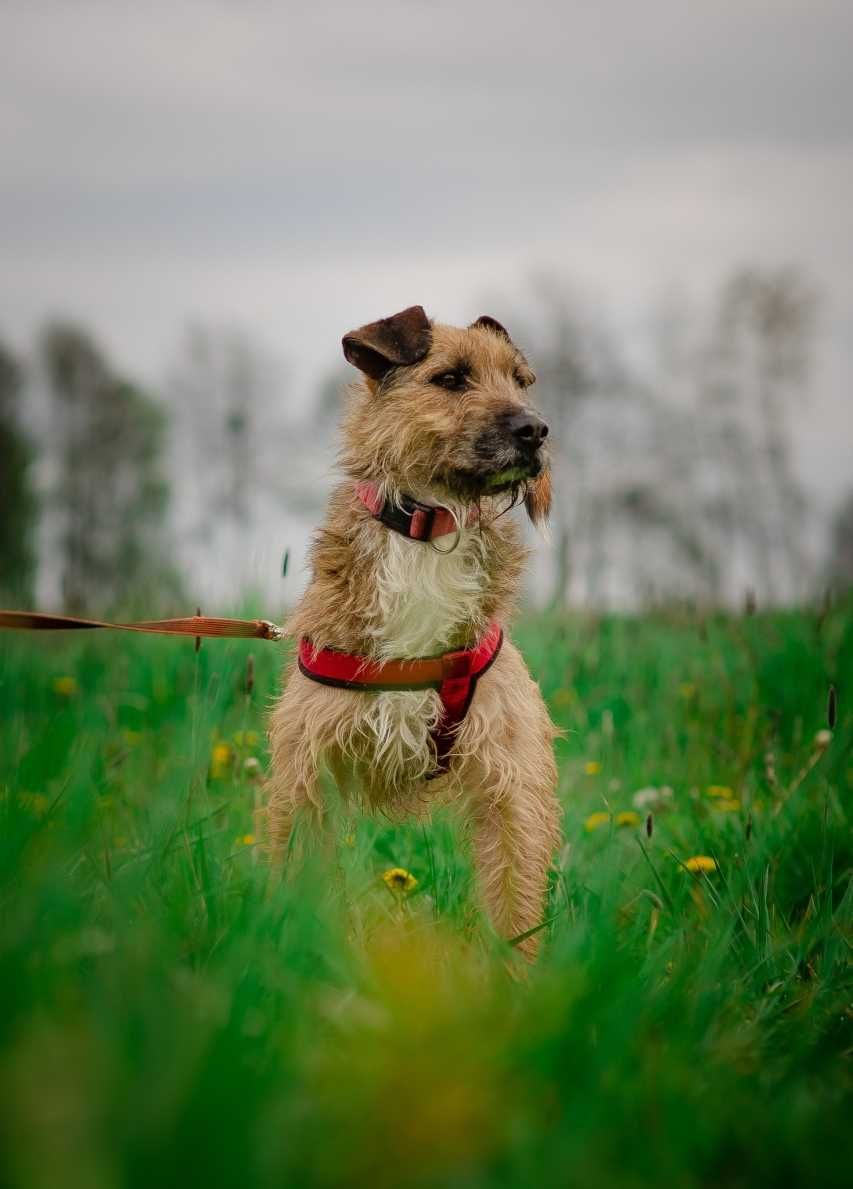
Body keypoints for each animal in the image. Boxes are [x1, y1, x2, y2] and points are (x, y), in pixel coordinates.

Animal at [266, 306, 559, 955]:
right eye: (450, 379)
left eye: (520, 381)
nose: (536, 429)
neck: (431, 529)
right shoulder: (306, 775)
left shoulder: (512, 786)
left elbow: (515, 910)